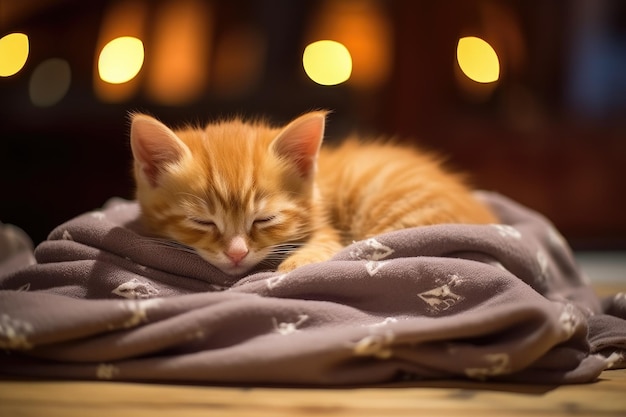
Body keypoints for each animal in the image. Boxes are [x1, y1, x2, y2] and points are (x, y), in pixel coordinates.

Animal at [129, 110, 494, 274]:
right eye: (202, 222)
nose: (236, 254)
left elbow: (324, 244)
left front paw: (291, 268)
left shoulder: (326, 227)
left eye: (265, 219)